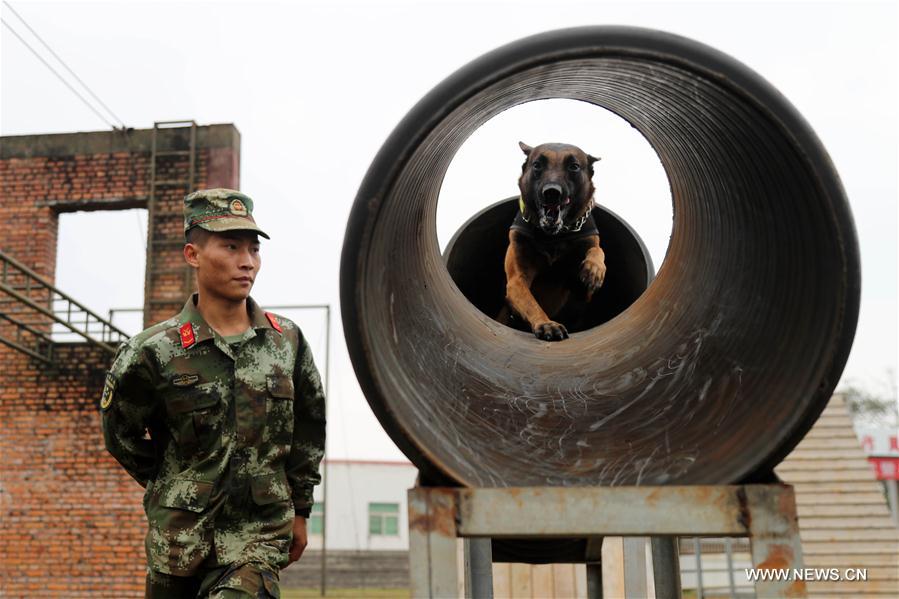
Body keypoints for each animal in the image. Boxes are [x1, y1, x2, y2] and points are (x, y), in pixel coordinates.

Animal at [502, 141, 608, 344]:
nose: (551, 192)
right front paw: (547, 324)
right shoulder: (516, 281)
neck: (554, 237)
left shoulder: (582, 291)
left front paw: (594, 269)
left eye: (574, 166)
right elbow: (530, 302)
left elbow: (597, 250)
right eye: (537, 165)